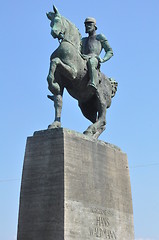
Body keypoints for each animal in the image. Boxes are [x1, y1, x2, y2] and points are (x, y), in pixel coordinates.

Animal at [46, 5, 117, 139]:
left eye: (57, 20)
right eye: (51, 23)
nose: (53, 33)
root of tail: (111, 85)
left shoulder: (73, 73)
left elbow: (56, 61)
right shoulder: (61, 81)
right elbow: (58, 101)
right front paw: (55, 124)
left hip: (101, 99)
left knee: (102, 118)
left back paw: (89, 131)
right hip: (86, 107)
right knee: (100, 122)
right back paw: (92, 136)